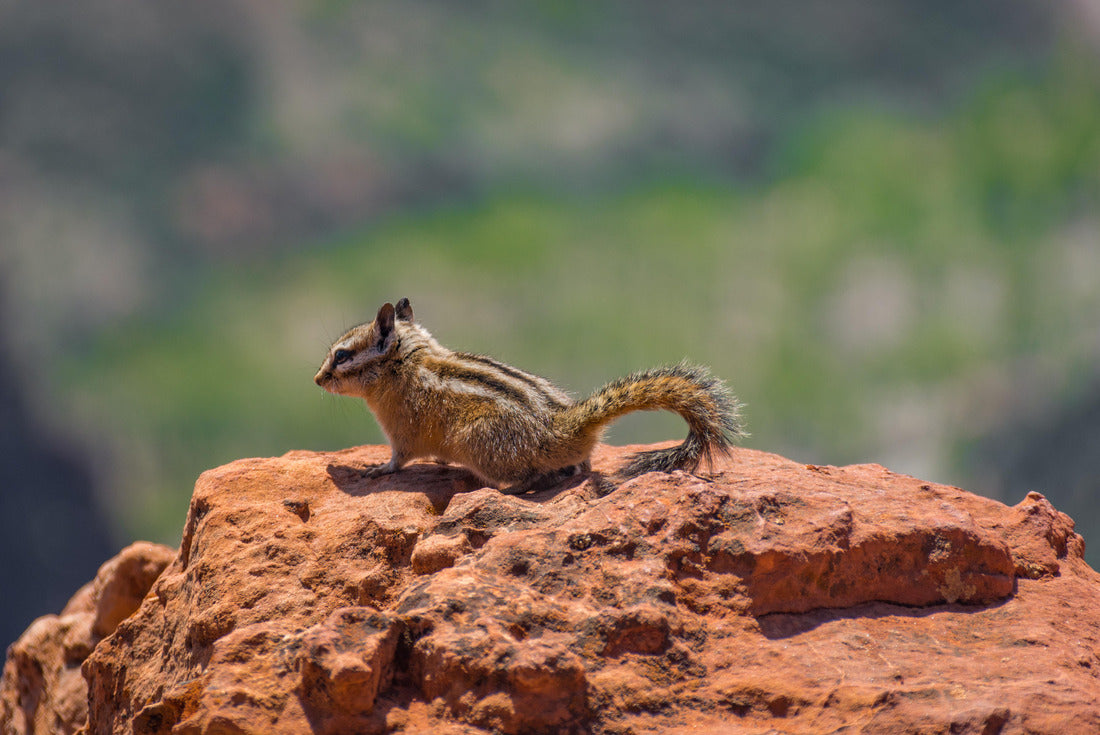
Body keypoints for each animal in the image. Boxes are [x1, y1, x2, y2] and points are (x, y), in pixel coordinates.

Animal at [314, 298, 745, 494]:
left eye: (342, 355)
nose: (317, 379)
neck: (409, 364)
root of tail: (564, 427)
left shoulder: (402, 432)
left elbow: (398, 460)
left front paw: (375, 469)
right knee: (575, 469)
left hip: (478, 443)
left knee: (531, 478)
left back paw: (499, 488)